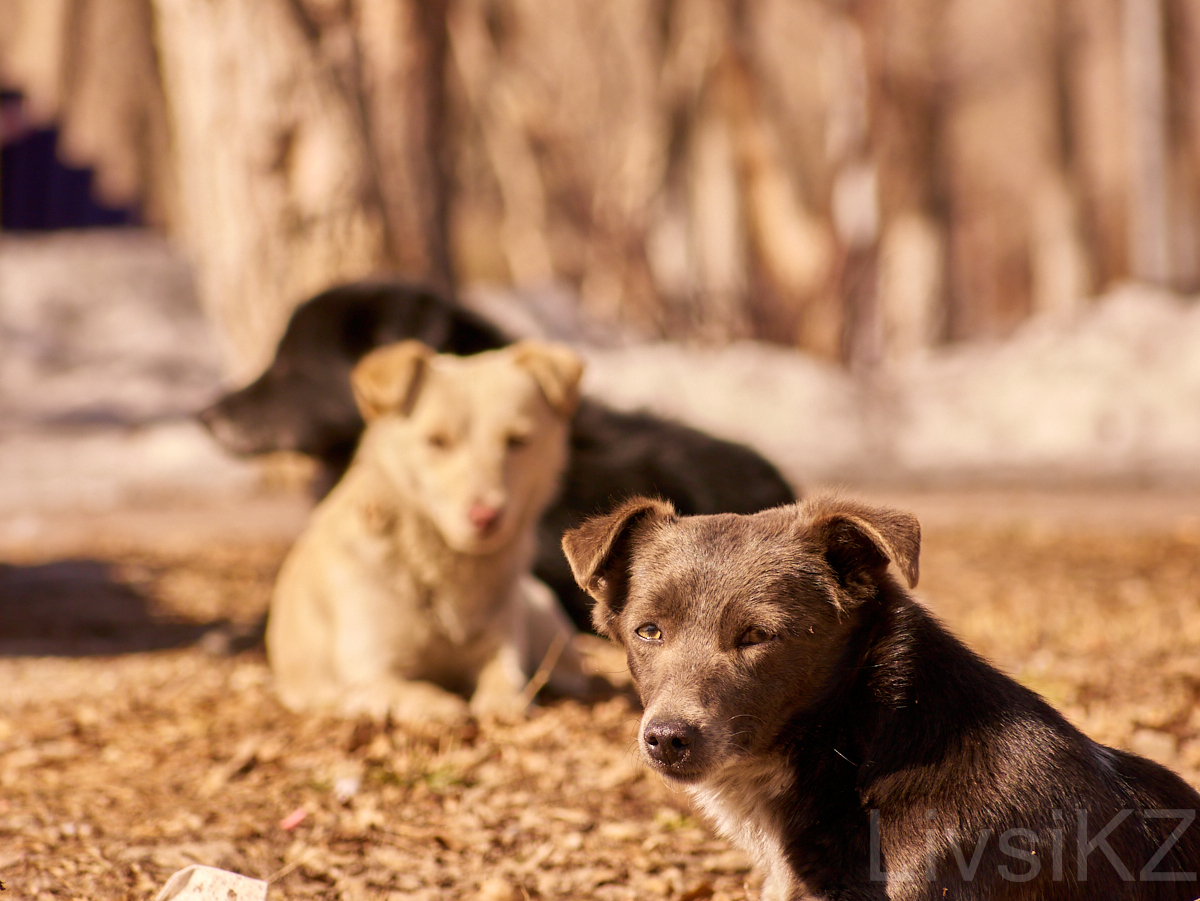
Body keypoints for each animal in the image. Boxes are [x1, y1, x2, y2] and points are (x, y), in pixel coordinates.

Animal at [267, 340, 595, 724]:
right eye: (436, 441)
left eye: (516, 441)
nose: (486, 516)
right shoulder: (369, 672)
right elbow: (412, 692)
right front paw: (441, 706)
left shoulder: (500, 644)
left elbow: (506, 677)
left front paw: (504, 702)